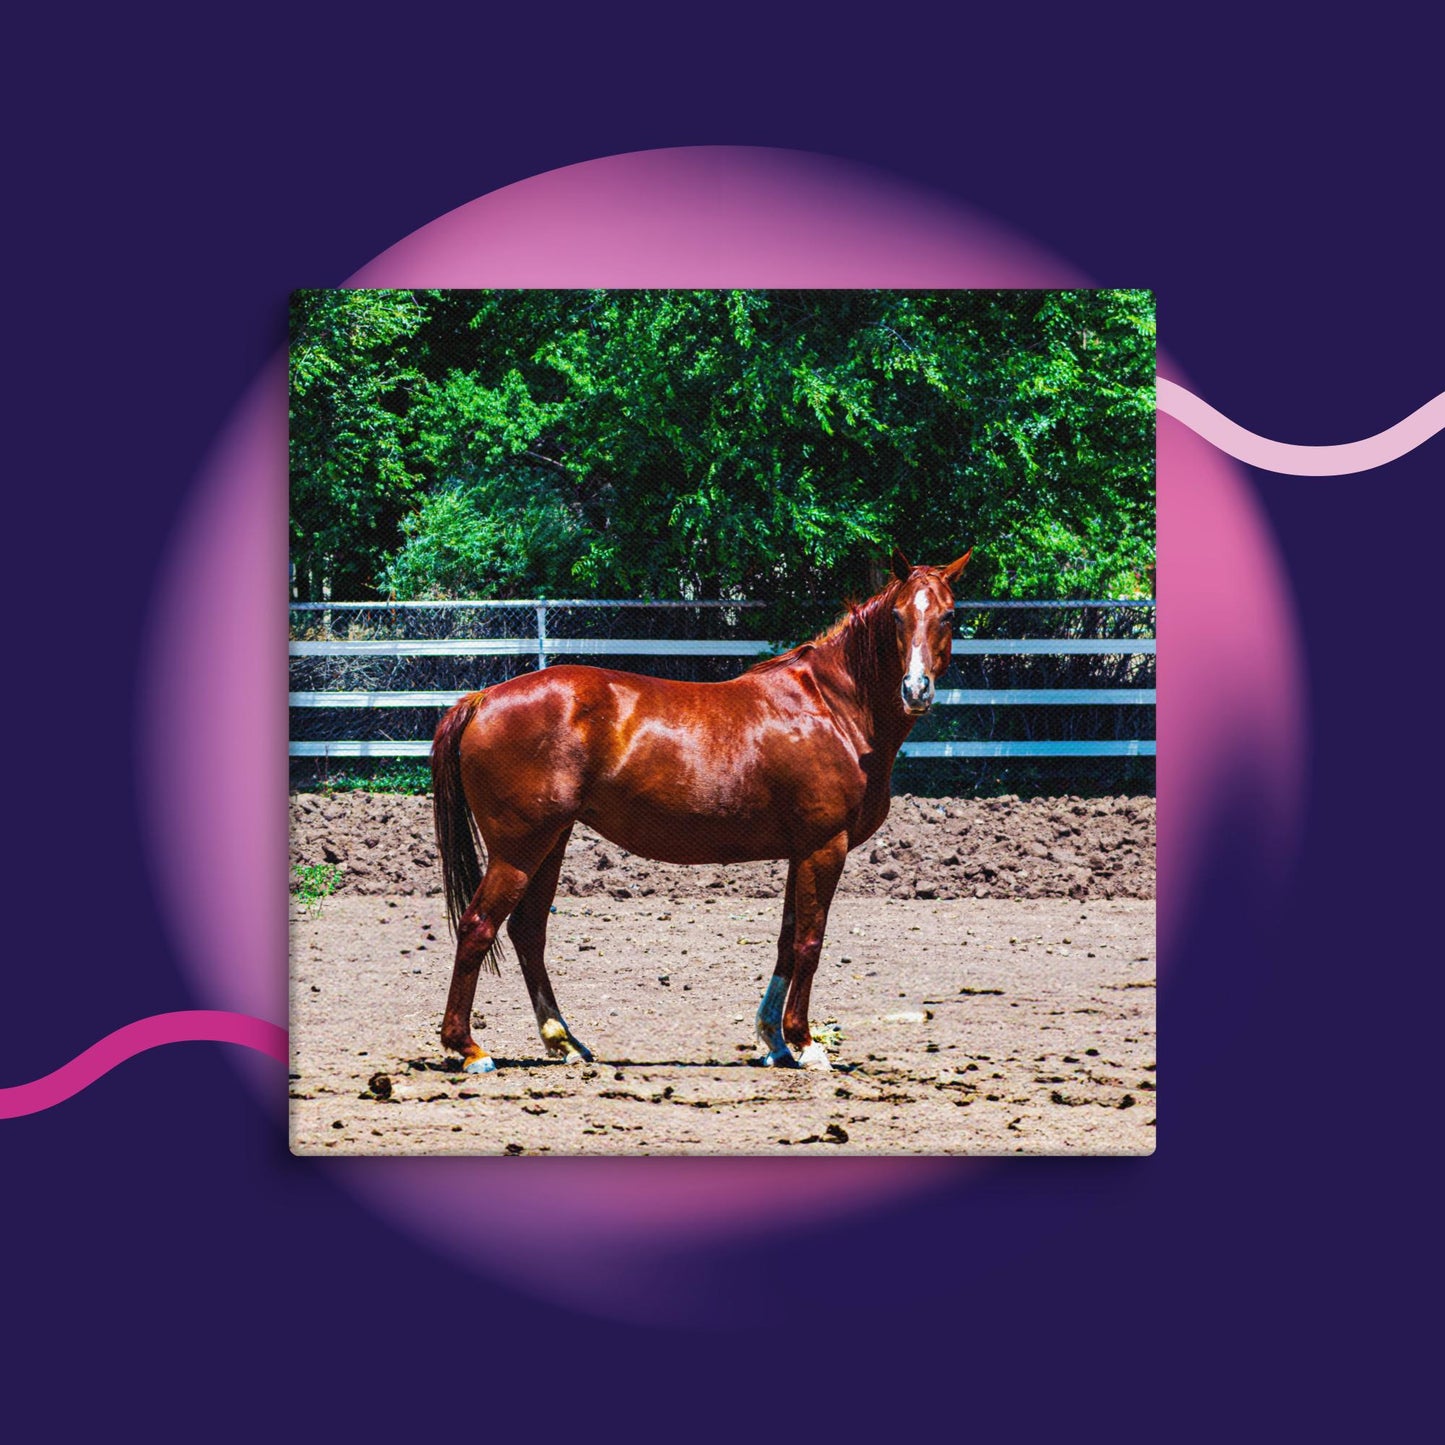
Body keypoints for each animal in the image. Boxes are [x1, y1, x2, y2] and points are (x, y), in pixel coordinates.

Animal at [427, 546, 971, 1069]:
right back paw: (469, 1049)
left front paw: (774, 1041)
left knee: (527, 932)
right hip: (519, 849)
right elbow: (809, 943)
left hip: (550, 844)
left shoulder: (800, 852)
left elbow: (786, 941)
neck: (832, 709)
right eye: (898, 616)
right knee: (478, 927)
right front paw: (806, 1043)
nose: (916, 689)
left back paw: (564, 1042)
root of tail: (482, 698)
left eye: (948, 614)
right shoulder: (824, 847)